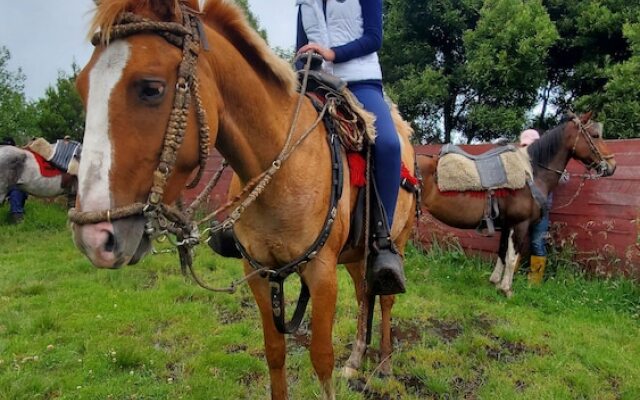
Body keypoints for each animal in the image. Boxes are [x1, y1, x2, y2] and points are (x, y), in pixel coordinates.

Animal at [70, 1, 418, 398]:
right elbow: (275, 352)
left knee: (384, 295)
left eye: (151, 88)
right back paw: (357, 360)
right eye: (82, 87)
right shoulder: (258, 272)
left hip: (394, 241)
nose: (94, 238)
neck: (283, 166)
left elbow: (321, 358)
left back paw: (385, 364)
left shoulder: (321, 273)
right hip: (355, 254)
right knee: (363, 293)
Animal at [420, 112, 616, 296]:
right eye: (595, 135)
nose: (612, 165)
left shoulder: (507, 224)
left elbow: (502, 253)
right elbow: (512, 258)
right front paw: (506, 289)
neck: (531, 173)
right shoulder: (520, 224)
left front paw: (494, 282)